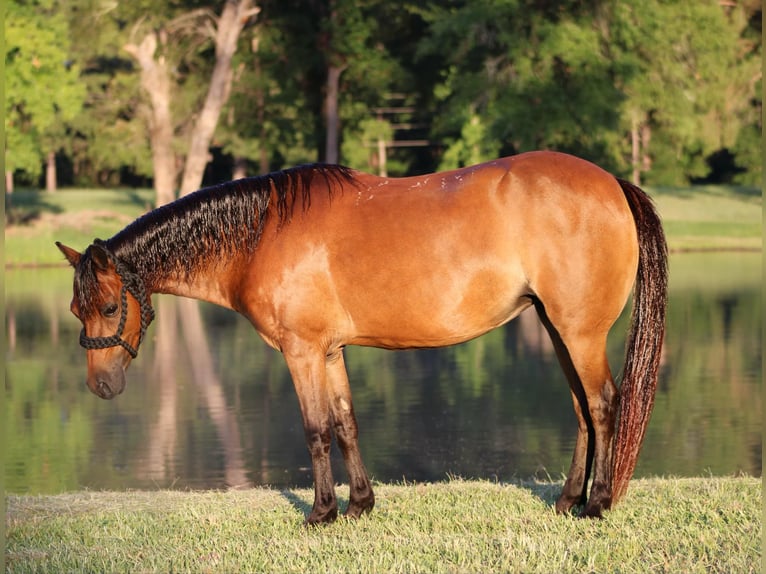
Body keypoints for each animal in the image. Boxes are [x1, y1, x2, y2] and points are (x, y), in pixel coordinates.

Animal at [57, 151, 664, 524]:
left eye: (108, 307)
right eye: (74, 309)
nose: (101, 386)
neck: (261, 235)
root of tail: (611, 182)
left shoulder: (302, 351)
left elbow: (316, 430)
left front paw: (321, 512)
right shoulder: (331, 351)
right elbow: (346, 423)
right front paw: (359, 505)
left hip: (579, 333)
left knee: (604, 404)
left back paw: (598, 504)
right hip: (559, 329)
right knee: (582, 409)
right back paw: (568, 500)